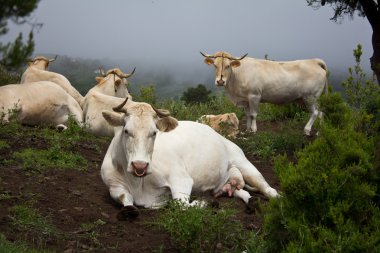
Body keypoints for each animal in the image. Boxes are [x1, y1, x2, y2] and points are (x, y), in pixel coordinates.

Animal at [101, 99, 280, 219]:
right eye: (126, 130)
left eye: (154, 132)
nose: (140, 166)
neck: (138, 183)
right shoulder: (114, 186)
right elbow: (126, 200)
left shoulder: (181, 179)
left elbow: (182, 206)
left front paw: (207, 203)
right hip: (227, 180)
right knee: (240, 191)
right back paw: (251, 201)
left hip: (243, 163)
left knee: (266, 188)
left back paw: (277, 199)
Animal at [200, 50, 328, 135]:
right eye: (215, 65)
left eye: (228, 65)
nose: (220, 81)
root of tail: (314, 61)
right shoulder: (245, 99)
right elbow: (247, 115)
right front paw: (247, 129)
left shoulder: (254, 96)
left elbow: (253, 114)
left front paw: (253, 130)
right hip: (304, 99)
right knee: (321, 112)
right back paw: (319, 132)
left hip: (310, 97)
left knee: (315, 113)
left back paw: (307, 130)